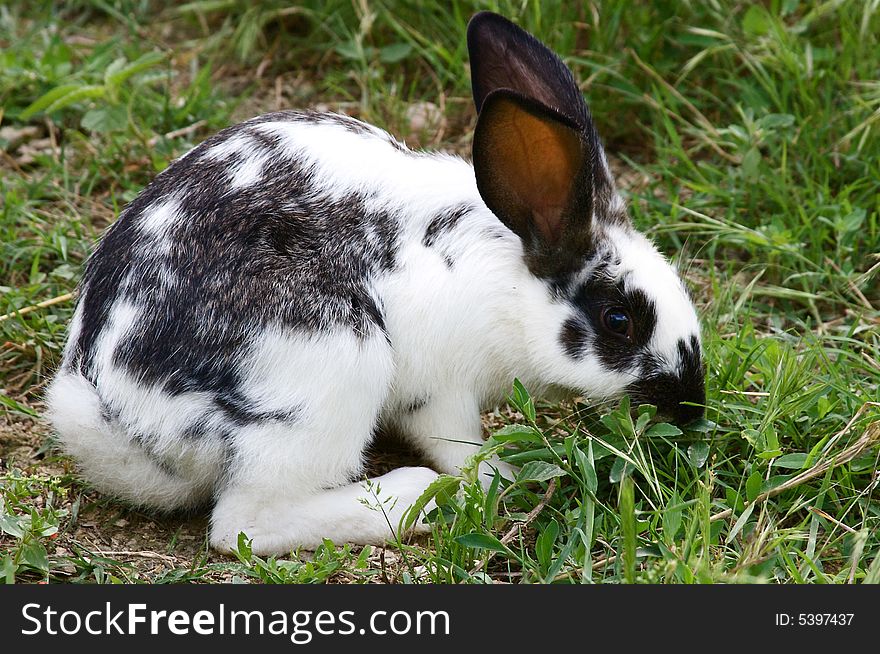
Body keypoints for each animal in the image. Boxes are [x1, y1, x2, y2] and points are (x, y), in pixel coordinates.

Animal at [44, 12, 704, 556]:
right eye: (619, 320)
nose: (691, 405)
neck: (510, 287)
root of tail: (119, 411)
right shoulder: (442, 391)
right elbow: (463, 448)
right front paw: (502, 481)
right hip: (327, 366)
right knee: (244, 524)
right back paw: (412, 496)